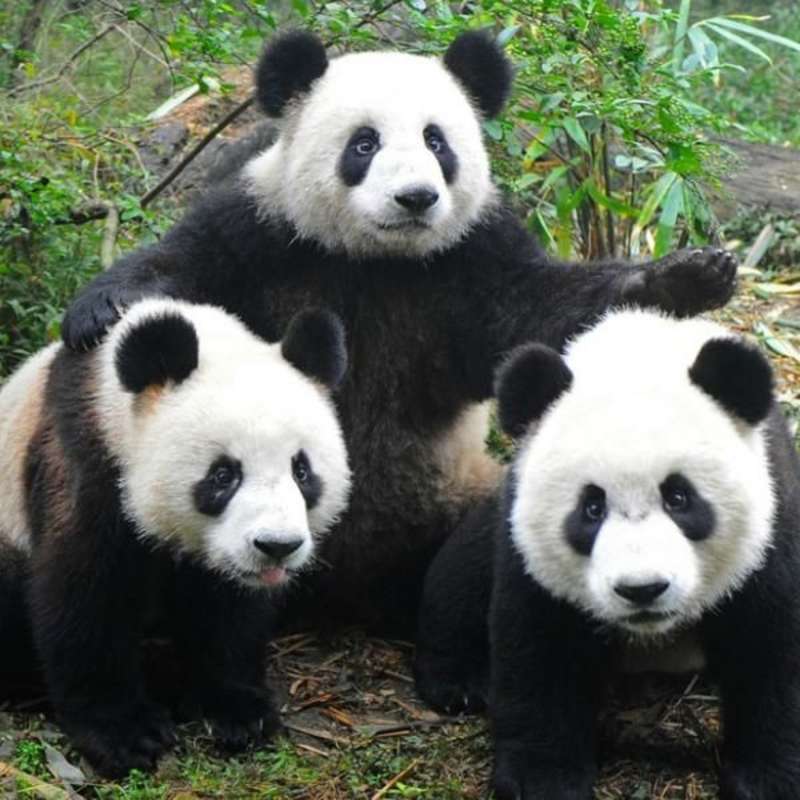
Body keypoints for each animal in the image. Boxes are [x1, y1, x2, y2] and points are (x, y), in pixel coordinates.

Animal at [0, 299, 351, 777]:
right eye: (223, 475)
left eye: (302, 470)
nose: (277, 546)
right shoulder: (84, 462)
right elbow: (85, 594)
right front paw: (126, 734)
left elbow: (228, 610)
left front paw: (238, 709)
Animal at [60, 29, 737, 632]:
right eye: (364, 144)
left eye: (437, 142)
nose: (415, 198)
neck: (377, 259)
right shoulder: (261, 233)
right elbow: (183, 267)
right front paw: (99, 312)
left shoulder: (471, 259)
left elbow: (541, 313)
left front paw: (688, 277)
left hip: (455, 492)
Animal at [414, 308, 800, 800]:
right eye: (591, 508)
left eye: (679, 497)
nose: (642, 590)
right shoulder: (526, 541)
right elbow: (539, 645)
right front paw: (545, 780)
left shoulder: (771, 522)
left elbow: (773, 645)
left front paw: (767, 780)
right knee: (463, 572)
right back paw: (458, 681)